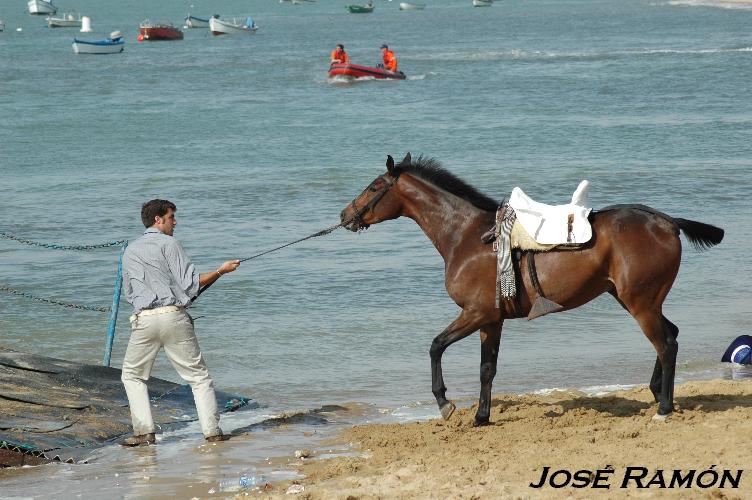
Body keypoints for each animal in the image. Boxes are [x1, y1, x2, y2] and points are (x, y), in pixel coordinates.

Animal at [340, 152, 724, 426]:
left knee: (666, 344)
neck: (466, 235)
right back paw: (658, 392)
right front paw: (481, 417)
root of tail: (667, 222)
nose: (345, 215)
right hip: (637, 300)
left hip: (640, 303)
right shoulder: (491, 320)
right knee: (671, 335)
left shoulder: (475, 313)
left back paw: (664, 408)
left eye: (374, 186)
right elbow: (487, 368)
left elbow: (436, 347)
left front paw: (446, 404)